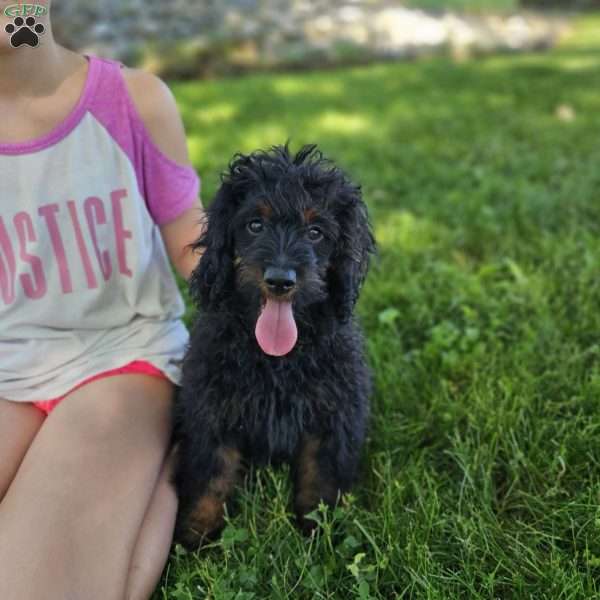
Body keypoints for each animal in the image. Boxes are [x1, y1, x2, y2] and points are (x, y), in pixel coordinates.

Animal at [171, 144, 376, 548]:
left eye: (315, 232)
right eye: (255, 225)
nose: (280, 280)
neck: (277, 360)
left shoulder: (332, 411)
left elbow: (320, 475)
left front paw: (317, 529)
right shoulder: (213, 408)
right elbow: (212, 474)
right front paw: (195, 534)